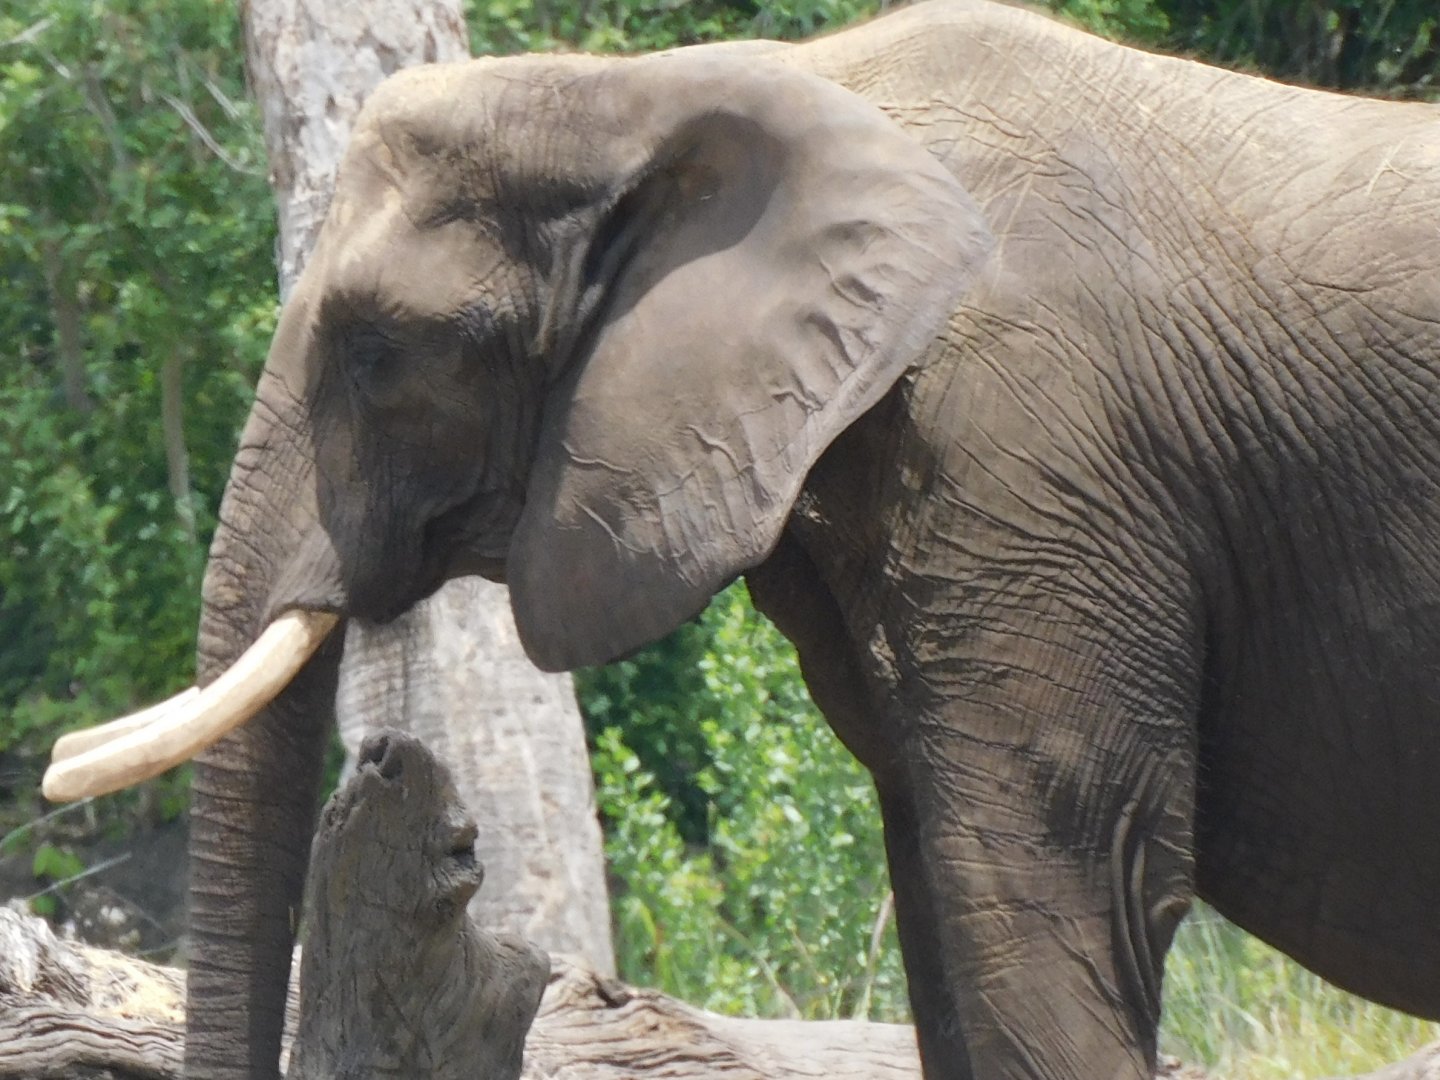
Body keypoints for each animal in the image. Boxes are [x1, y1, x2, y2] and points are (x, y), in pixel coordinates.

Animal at [40, 0, 1440, 1077]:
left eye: (378, 353)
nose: (53, 759)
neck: (675, 88)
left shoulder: (1040, 456)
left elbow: (1054, 881)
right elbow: (944, 895)